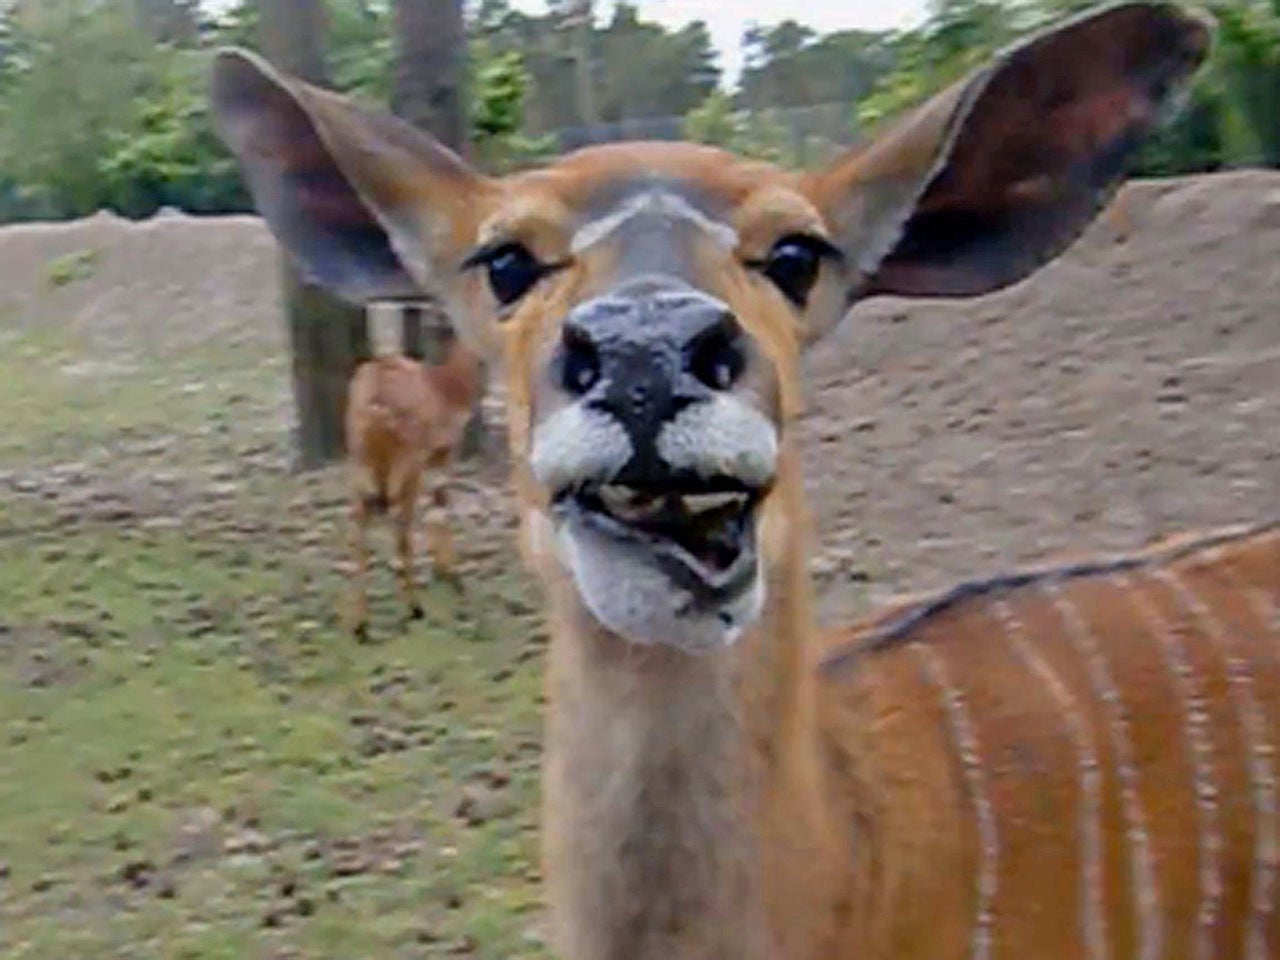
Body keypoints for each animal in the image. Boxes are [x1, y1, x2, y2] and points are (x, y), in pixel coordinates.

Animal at [344, 337, 483, 637]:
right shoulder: (444, 454)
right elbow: (441, 504)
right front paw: (451, 574)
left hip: (359, 463)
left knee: (361, 525)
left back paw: (361, 624)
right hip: (407, 465)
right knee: (401, 524)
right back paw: (414, 609)